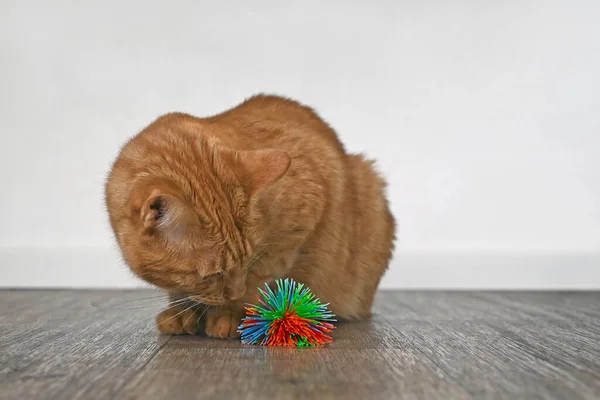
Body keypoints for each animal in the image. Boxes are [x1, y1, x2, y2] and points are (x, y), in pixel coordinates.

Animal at [105, 94, 396, 338]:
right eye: (210, 276)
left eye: (251, 260)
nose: (235, 293)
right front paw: (182, 310)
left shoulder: (300, 220)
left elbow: (263, 279)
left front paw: (231, 313)